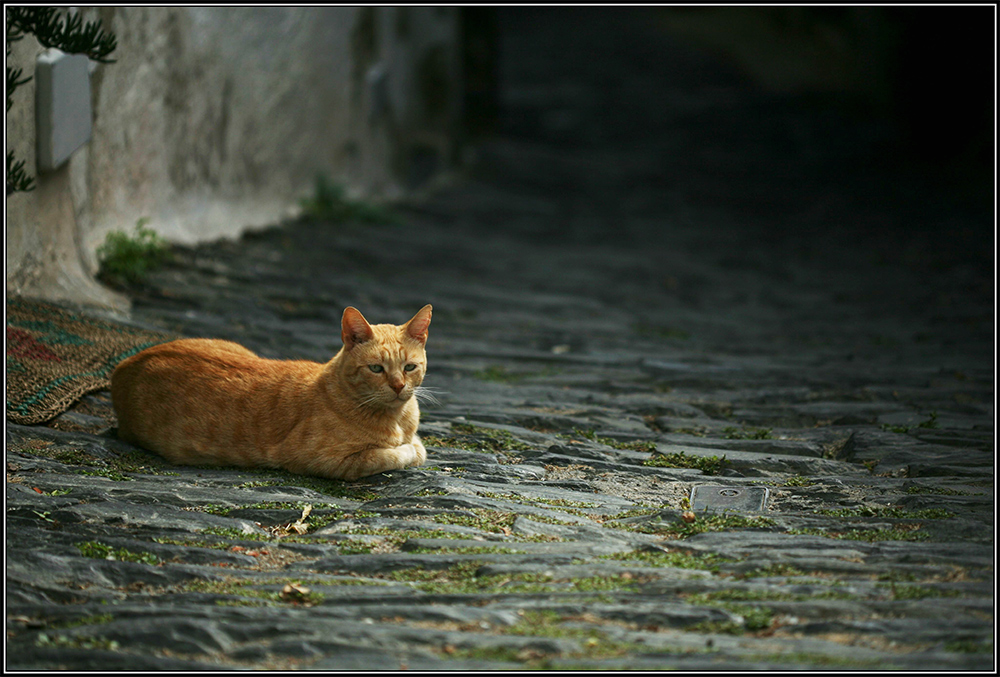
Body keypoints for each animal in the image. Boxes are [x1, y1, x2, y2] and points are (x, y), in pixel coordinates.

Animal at [111, 304, 432, 478]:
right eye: (376, 368)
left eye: (409, 367)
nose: (398, 386)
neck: (397, 418)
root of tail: (124, 364)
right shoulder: (324, 460)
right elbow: (396, 454)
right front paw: (406, 449)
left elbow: (416, 447)